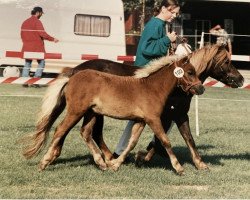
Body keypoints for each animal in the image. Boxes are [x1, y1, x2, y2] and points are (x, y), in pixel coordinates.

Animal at [22, 55, 205, 174]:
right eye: (190, 72)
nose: (201, 88)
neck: (152, 88)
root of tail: (72, 76)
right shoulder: (153, 119)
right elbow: (165, 141)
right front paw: (179, 167)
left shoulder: (140, 121)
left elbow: (131, 143)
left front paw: (115, 164)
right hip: (76, 111)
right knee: (60, 130)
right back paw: (45, 161)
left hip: (91, 113)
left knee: (86, 132)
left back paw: (101, 163)